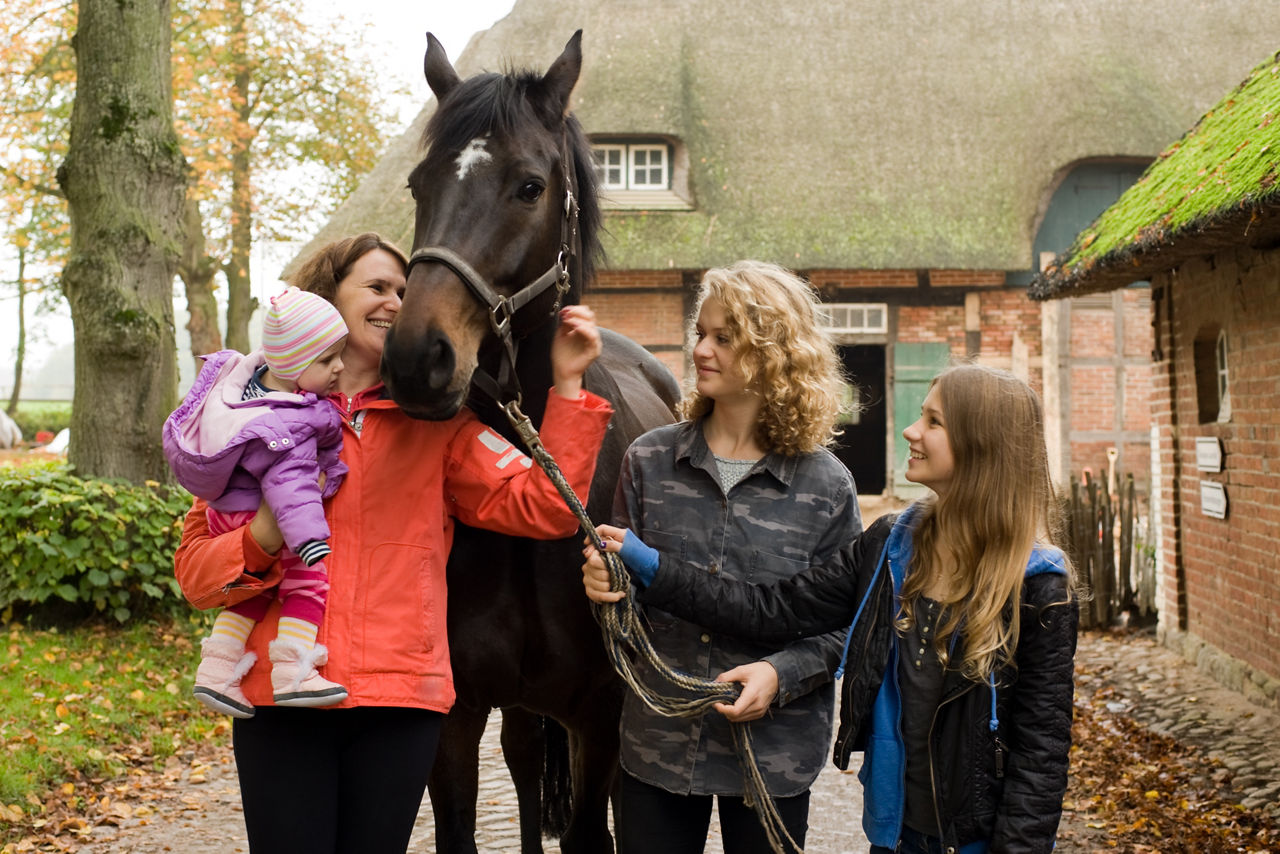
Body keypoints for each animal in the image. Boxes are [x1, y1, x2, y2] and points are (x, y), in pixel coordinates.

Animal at [380, 31, 681, 854]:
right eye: (417, 184)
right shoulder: (454, 716)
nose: (416, 359)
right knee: (519, 764)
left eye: (529, 186)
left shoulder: (601, 715)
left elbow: (589, 831)